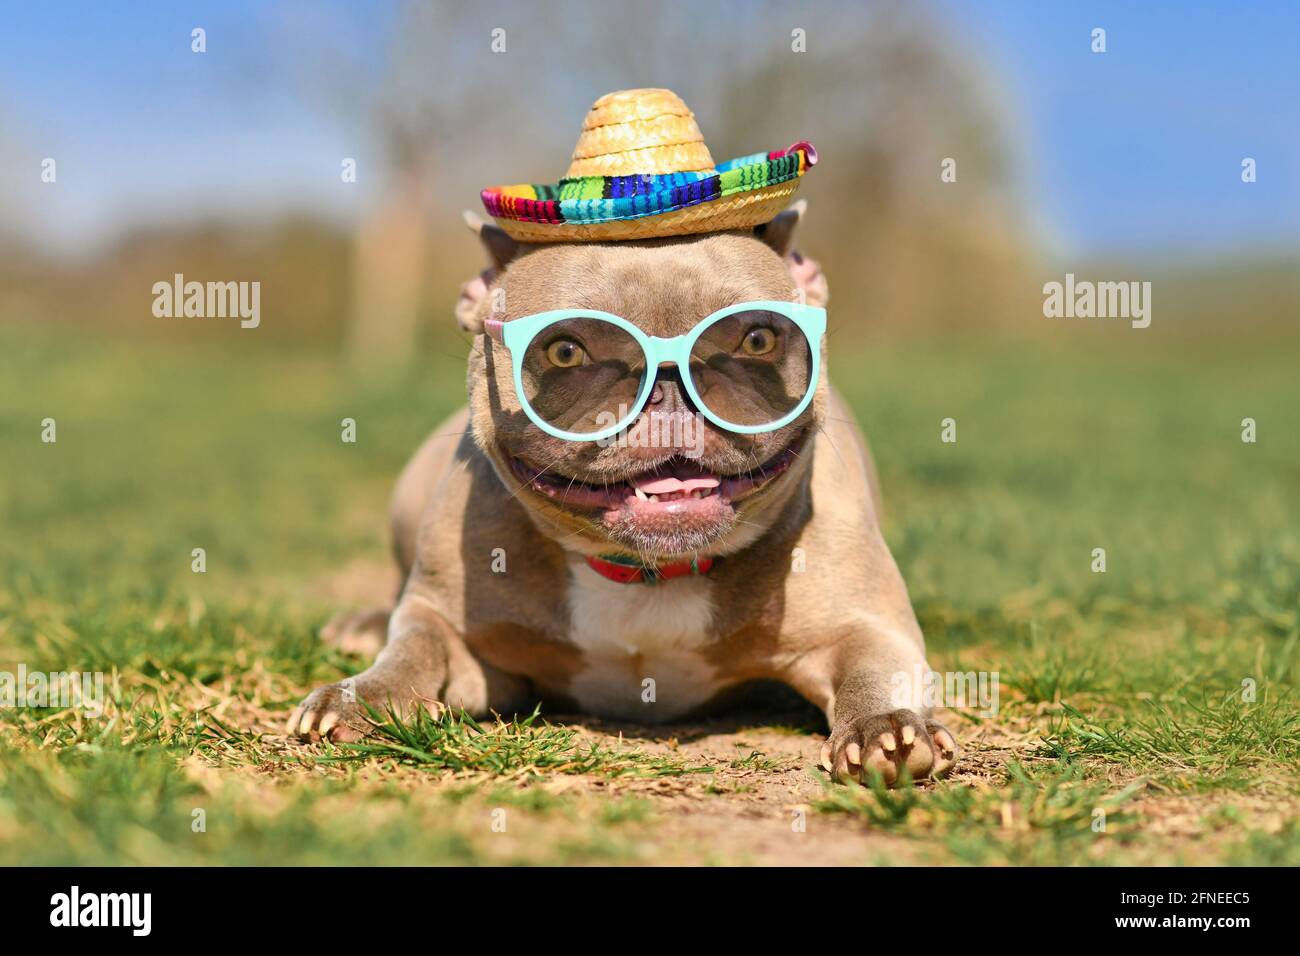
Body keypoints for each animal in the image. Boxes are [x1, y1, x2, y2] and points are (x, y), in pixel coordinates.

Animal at [287, 201, 956, 785]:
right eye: (565, 350)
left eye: (758, 341)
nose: (669, 385)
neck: (646, 573)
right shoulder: (451, 623)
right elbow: (417, 646)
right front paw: (365, 696)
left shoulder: (863, 624)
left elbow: (871, 667)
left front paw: (884, 726)